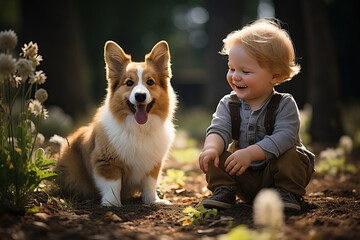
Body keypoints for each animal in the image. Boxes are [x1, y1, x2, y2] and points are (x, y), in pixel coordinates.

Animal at [55, 40, 177, 206]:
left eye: (150, 82)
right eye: (129, 83)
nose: (140, 96)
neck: (138, 129)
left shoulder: (153, 164)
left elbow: (149, 184)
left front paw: (153, 201)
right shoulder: (106, 162)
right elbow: (113, 184)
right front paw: (112, 203)